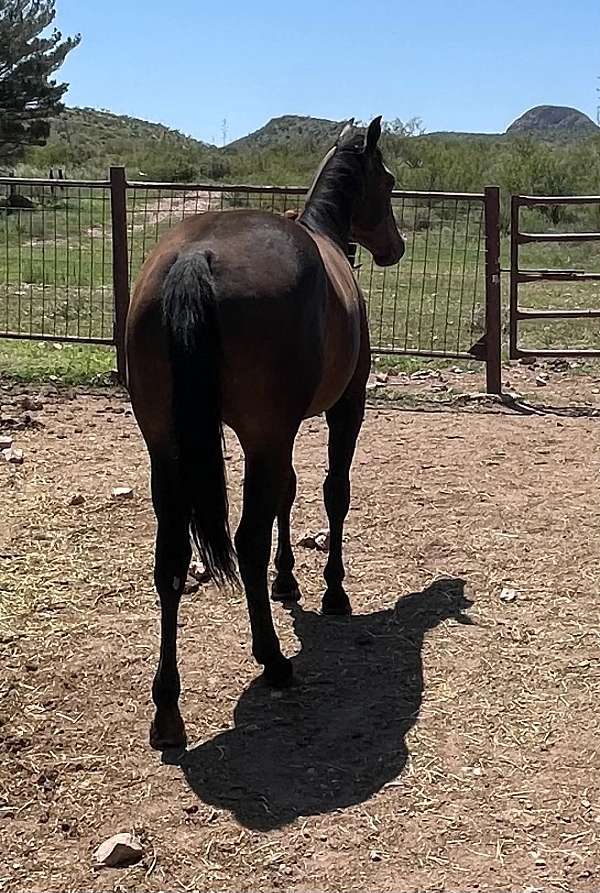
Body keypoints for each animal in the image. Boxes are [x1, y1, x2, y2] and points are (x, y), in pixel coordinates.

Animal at [126, 117, 405, 750]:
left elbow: (288, 494)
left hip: (166, 449)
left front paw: (289, 583)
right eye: (388, 181)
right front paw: (331, 591)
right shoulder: (340, 409)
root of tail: (195, 256)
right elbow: (331, 492)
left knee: (170, 560)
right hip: (260, 437)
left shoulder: (282, 432)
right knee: (247, 541)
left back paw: (167, 710)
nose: (395, 247)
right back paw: (273, 659)